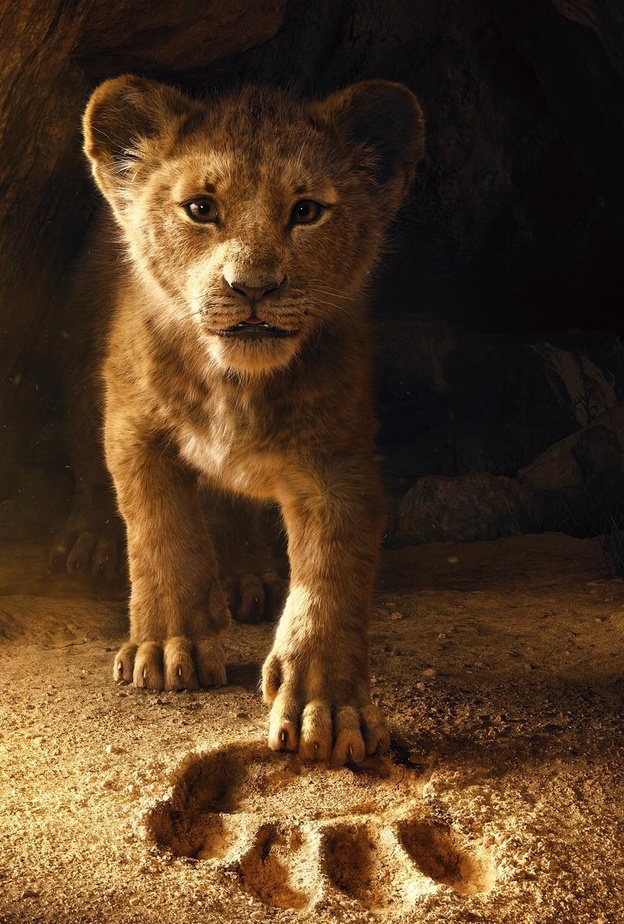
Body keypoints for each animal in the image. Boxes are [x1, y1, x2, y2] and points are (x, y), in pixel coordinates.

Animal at [51, 75, 424, 765]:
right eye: (200, 208)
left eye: (306, 211)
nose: (252, 286)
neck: (235, 382)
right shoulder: (135, 427)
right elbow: (161, 533)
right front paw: (168, 646)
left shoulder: (338, 462)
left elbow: (331, 577)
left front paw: (326, 707)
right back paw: (90, 542)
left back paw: (247, 576)